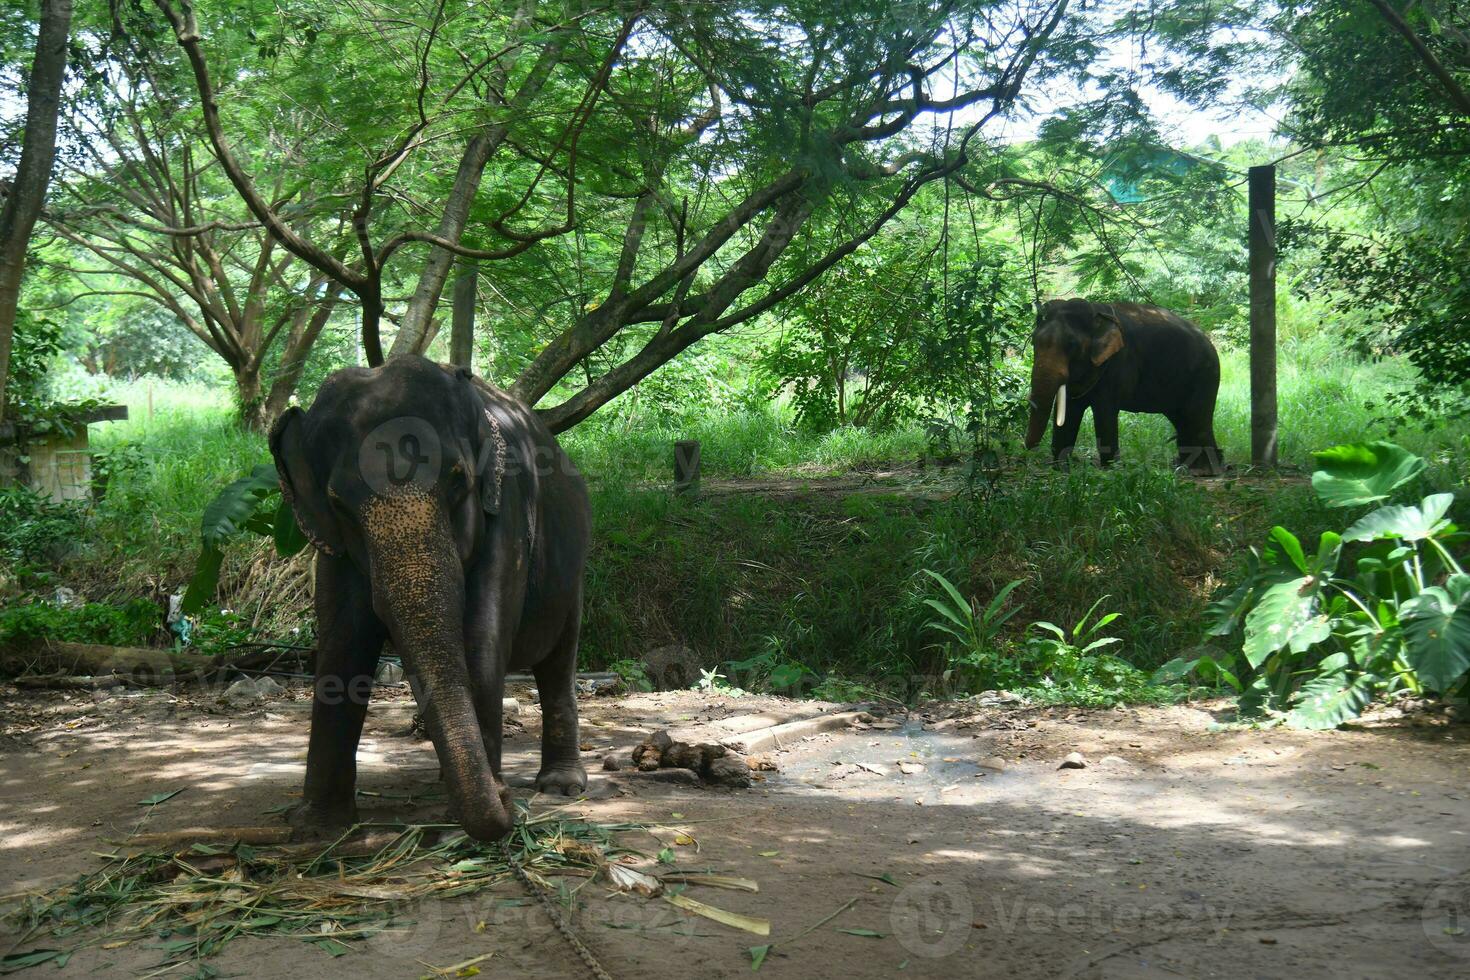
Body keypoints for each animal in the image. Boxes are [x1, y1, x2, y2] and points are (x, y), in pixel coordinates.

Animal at [267, 357, 588, 840]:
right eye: (338, 504)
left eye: (458, 482)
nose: (506, 802)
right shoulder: (332, 547)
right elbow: (343, 638)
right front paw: (316, 828)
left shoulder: (508, 511)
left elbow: (483, 632)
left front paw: (467, 817)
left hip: (574, 571)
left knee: (559, 661)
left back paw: (562, 786)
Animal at [1017, 296, 1223, 473]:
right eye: (1034, 342)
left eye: (1072, 345)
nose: (1023, 458)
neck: (1096, 313)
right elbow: (1069, 413)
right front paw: (1060, 470)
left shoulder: (1118, 363)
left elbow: (1104, 415)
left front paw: (1109, 471)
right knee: (1182, 420)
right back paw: (1185, 467)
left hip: (1206, 376)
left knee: (1197, 418)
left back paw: (1202, 471)